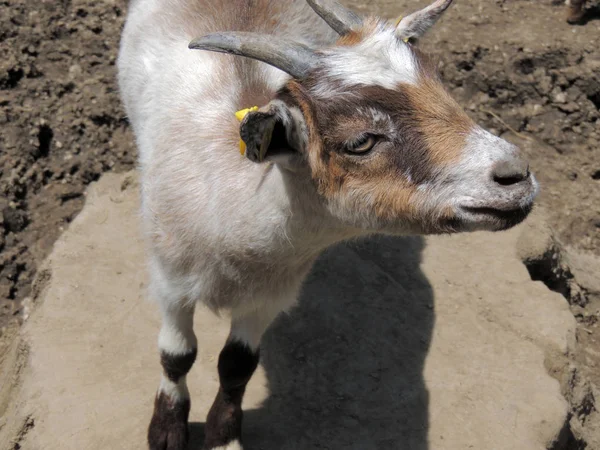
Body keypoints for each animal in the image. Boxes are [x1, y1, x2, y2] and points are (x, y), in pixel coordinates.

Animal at [117, 0, 540, 450]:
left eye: (443, 91)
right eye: (360, 141)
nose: (515, 176)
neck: (227, 204)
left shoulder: (270, 293)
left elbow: (237, 365)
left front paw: (223, 437)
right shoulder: (170, 280)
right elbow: (177, 356)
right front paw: (166, 429)